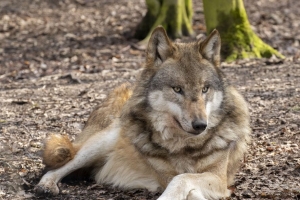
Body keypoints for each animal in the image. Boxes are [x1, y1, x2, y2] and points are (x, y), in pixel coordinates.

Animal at [35, 27, 251, 200]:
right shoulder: (167, 176)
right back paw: (45, 186)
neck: (187, 146)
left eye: (205, 89)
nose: (200, 125)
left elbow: (185, 181)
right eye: (177, 89)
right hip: (100, 143)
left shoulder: (220, 178)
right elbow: (181, 179)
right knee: (55, 167)